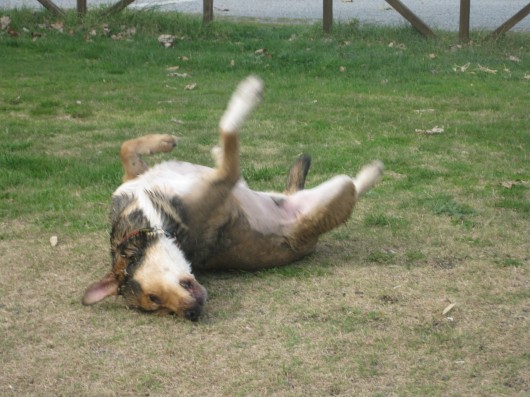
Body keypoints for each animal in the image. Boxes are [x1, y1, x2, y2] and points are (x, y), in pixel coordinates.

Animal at [80, 76, 382, 320]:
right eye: (155, 303)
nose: (192, 314)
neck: (150, 220)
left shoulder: (137, 178)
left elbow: (126, 147)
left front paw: (164, 140)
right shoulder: (226, 176)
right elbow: (227, 129)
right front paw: (248, 94)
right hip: (335, 193)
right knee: (353, 186)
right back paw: (372, 171)